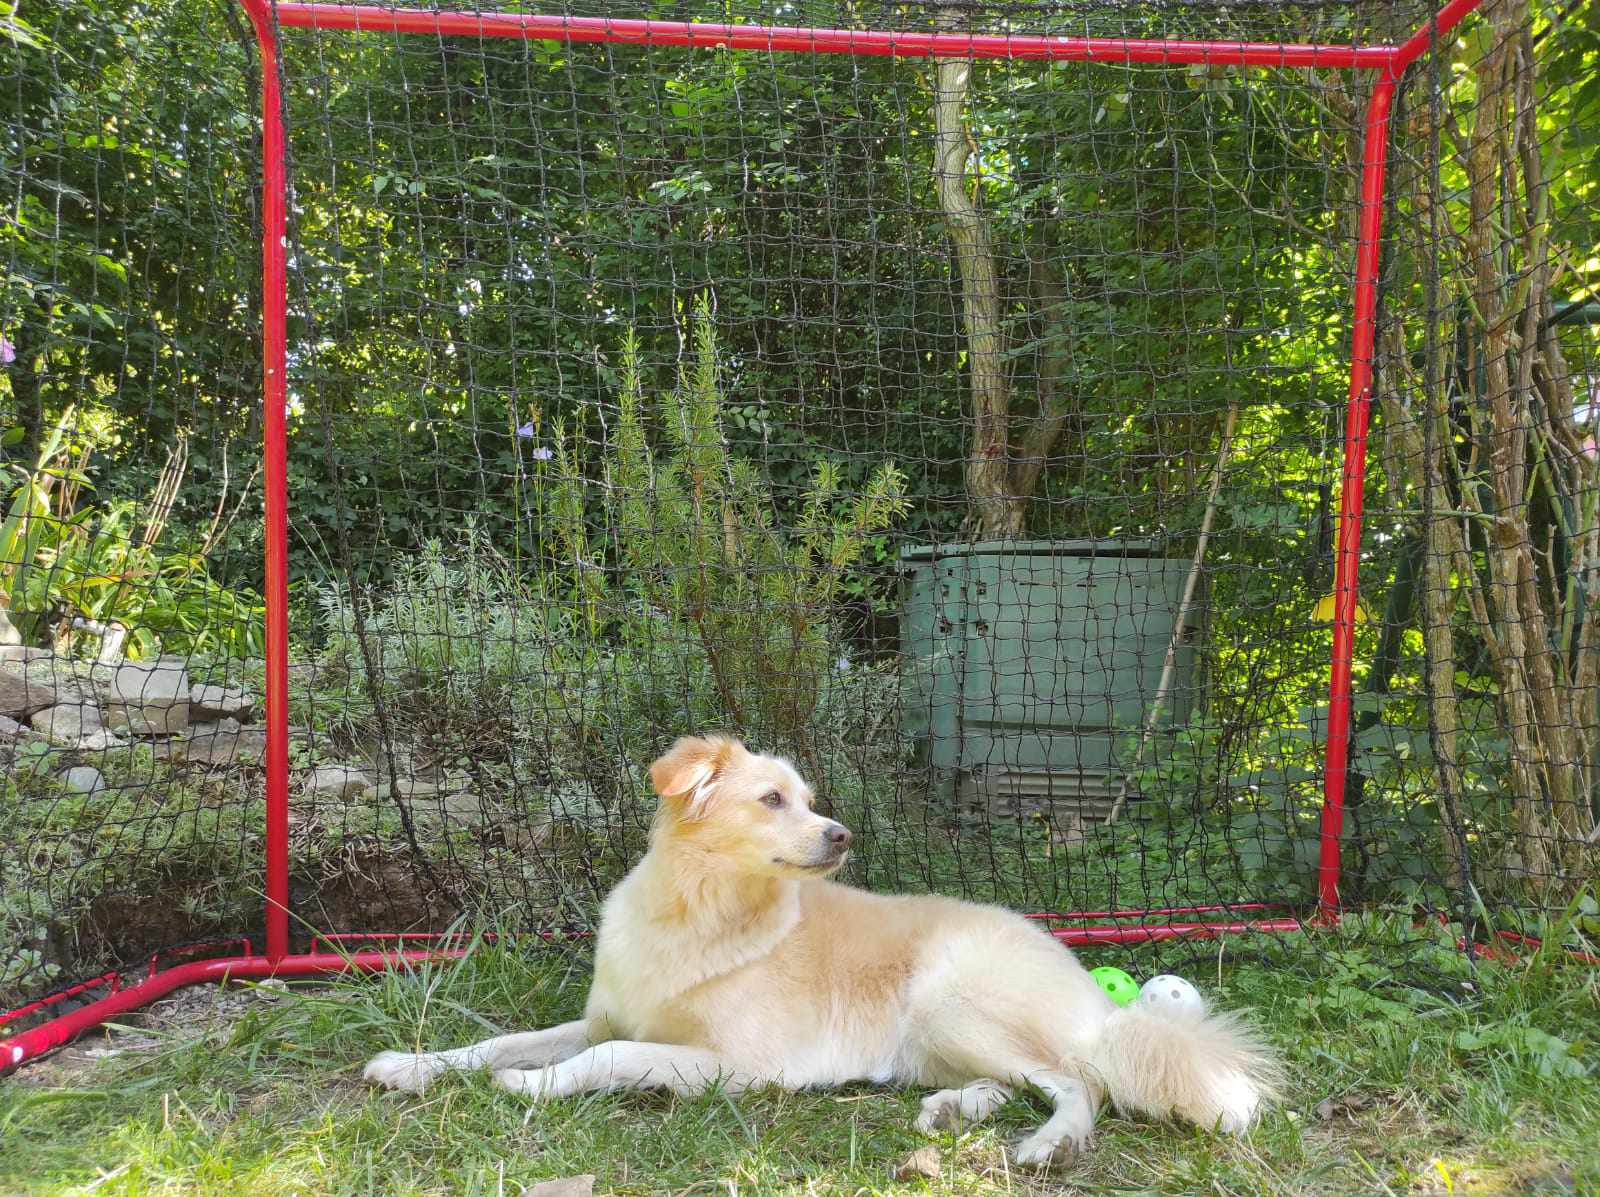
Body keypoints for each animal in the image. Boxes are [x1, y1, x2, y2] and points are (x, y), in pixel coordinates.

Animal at [364, 734, 1279, 1163]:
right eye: (773, 799)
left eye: (809, 799)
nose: (842, 832)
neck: (702, 914)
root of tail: (1093, 993)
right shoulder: (599, 1017)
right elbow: (499, 1039)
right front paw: (415, 1066)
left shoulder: (733, 1066)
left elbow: (607, 1058)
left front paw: (533, 1086)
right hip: (934, 1036)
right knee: (1018, 1080)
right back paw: (955, 1109)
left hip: (950, 999)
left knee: (1079, 1082)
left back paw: (1048, 1143)